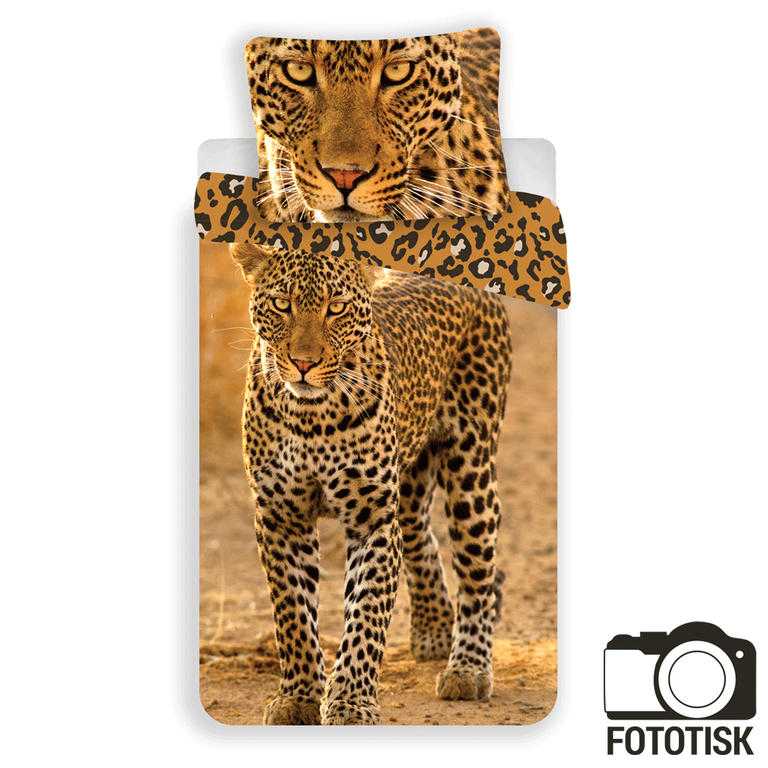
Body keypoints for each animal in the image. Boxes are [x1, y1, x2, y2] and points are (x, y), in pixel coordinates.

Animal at [230, 241, 513, 725]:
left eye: (336, 308)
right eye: (282, 305)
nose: (304, 363)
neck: (313, 417)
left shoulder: (373, 520)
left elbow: (366, 615)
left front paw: (350, 702)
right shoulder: (280, 518)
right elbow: (293, 616)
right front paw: (298, 698)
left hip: (471, 467)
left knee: (477, 570)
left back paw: (468, 668)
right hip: (411, 477)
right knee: (420, 537)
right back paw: (434, 629)